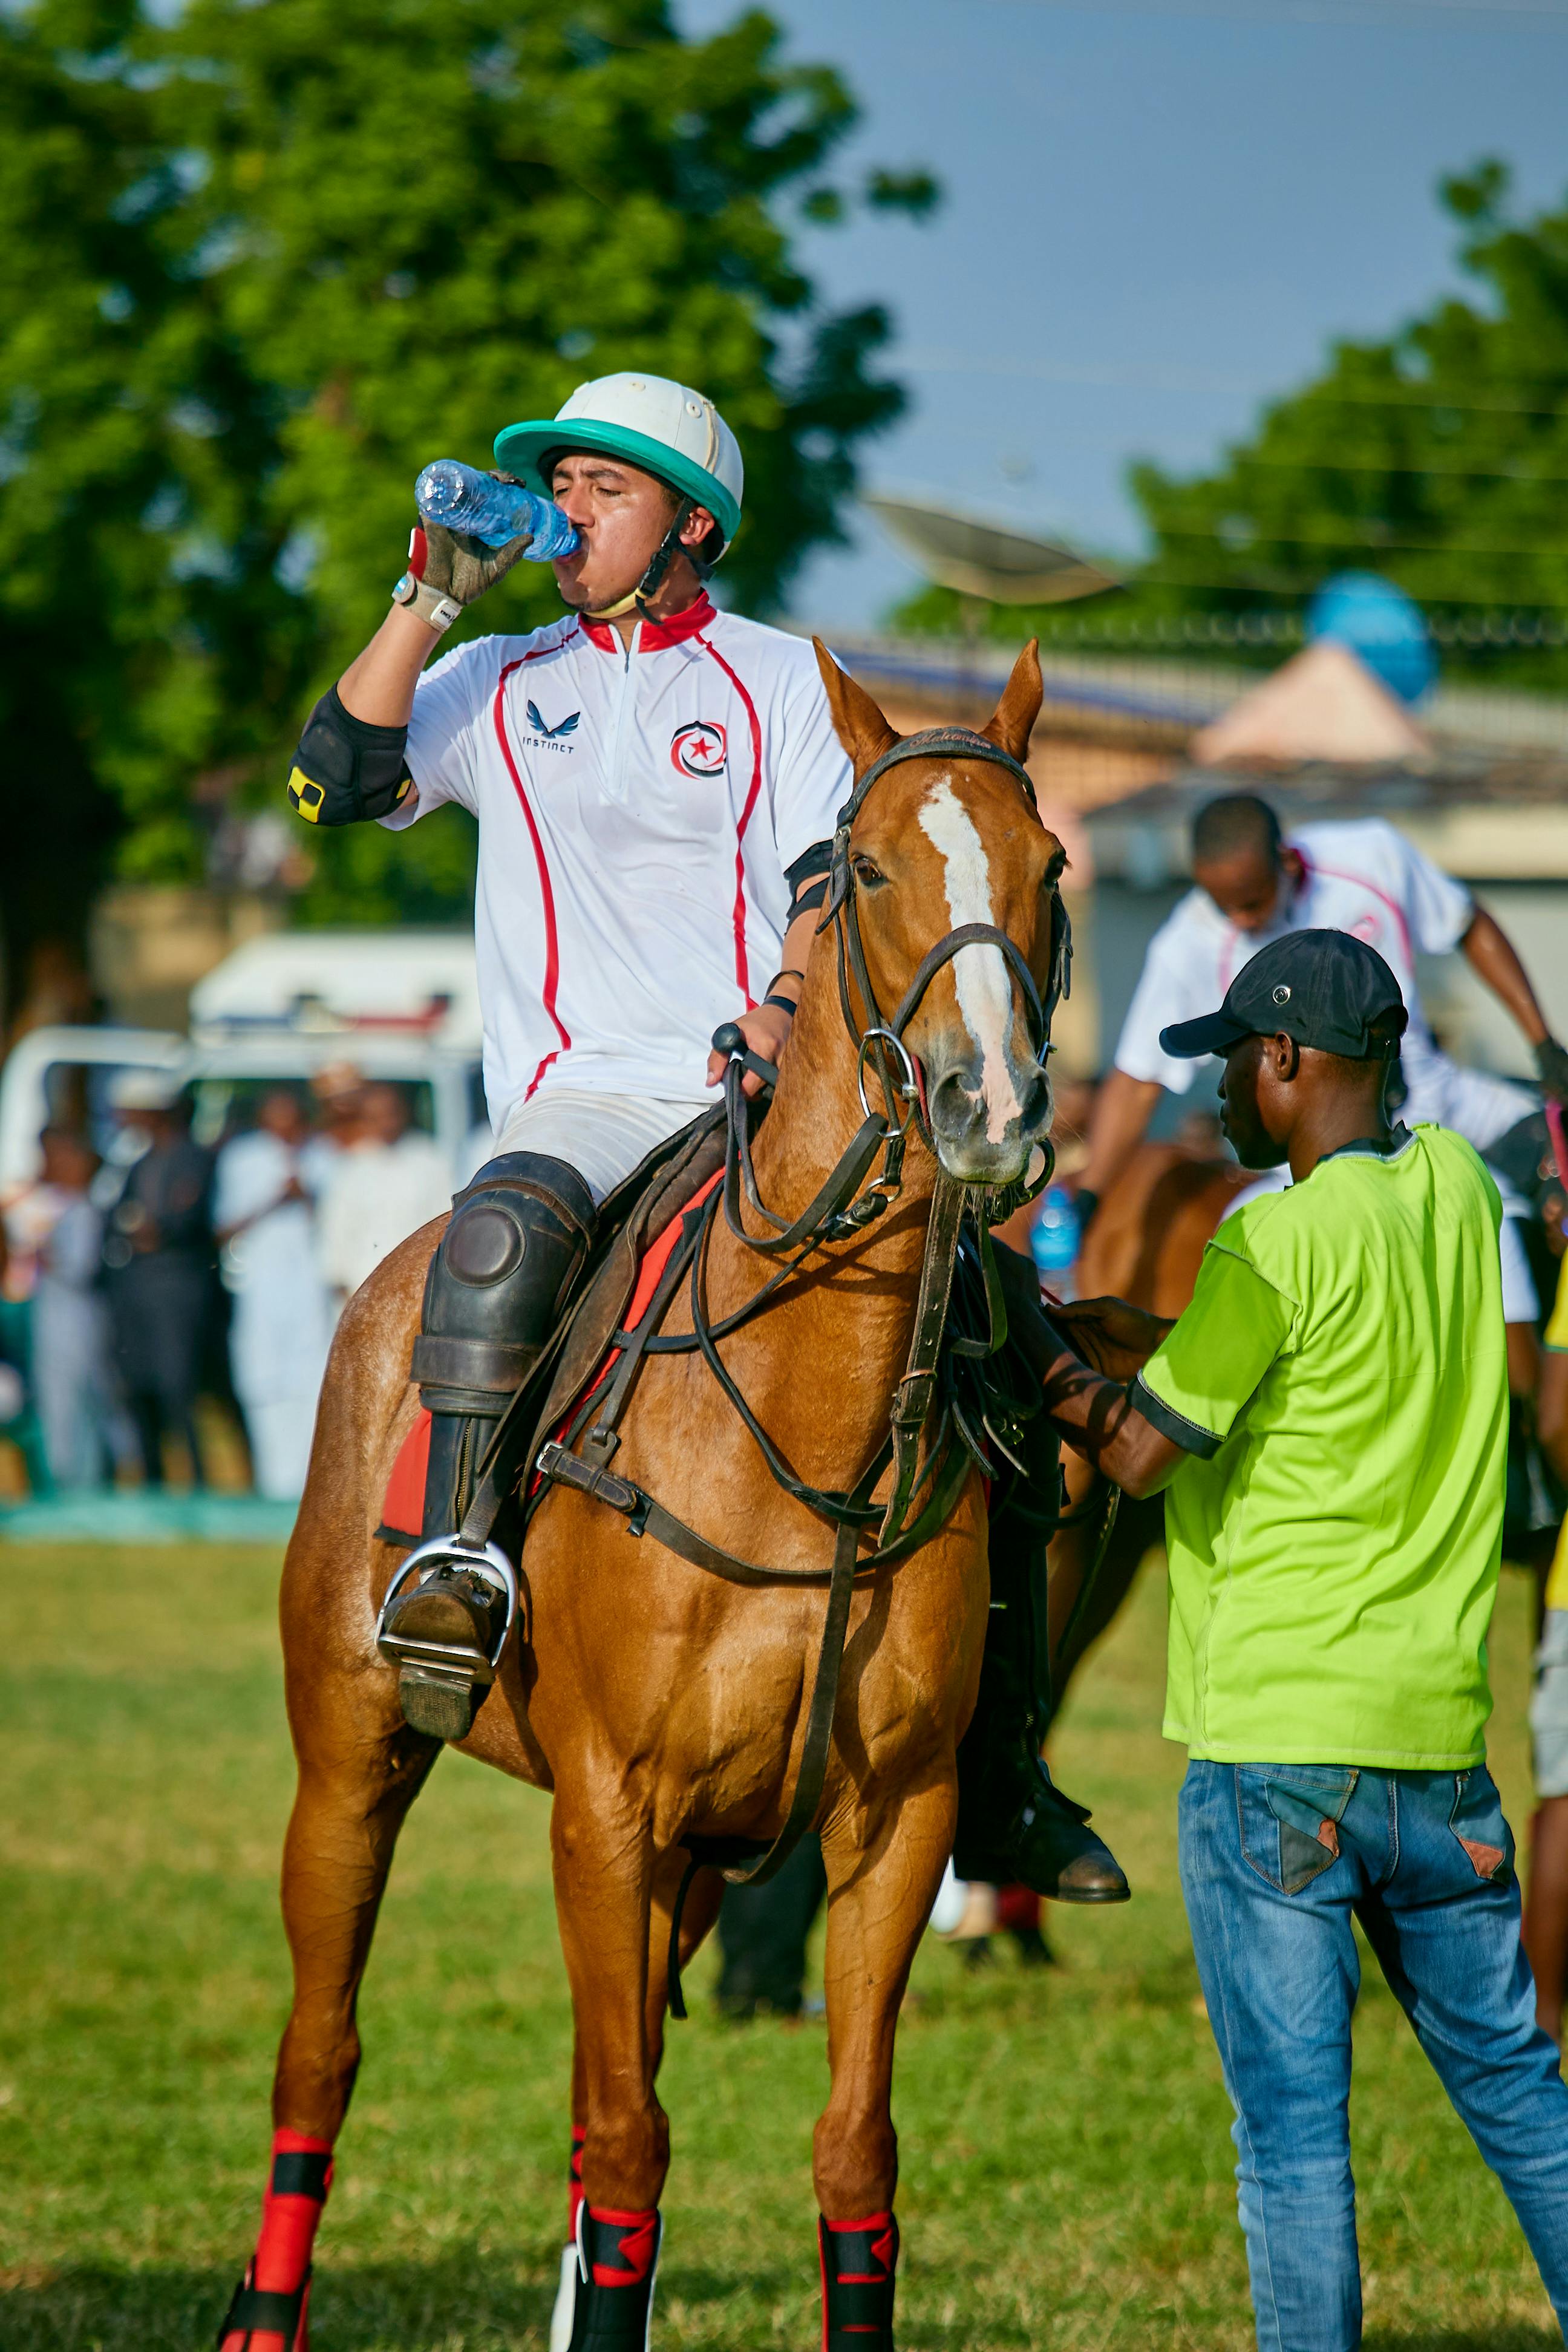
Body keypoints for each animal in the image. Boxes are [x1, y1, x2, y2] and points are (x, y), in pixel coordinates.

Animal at [227, 635, 1067, 2342]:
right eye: (869, 867)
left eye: (1051, 867)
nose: (992, 1110)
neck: (810, 1440)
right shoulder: (609, 1808)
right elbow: (627, 2147)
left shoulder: (896, 1818)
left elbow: (850, 2155)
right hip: (350, 1755)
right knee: (321, 2055)